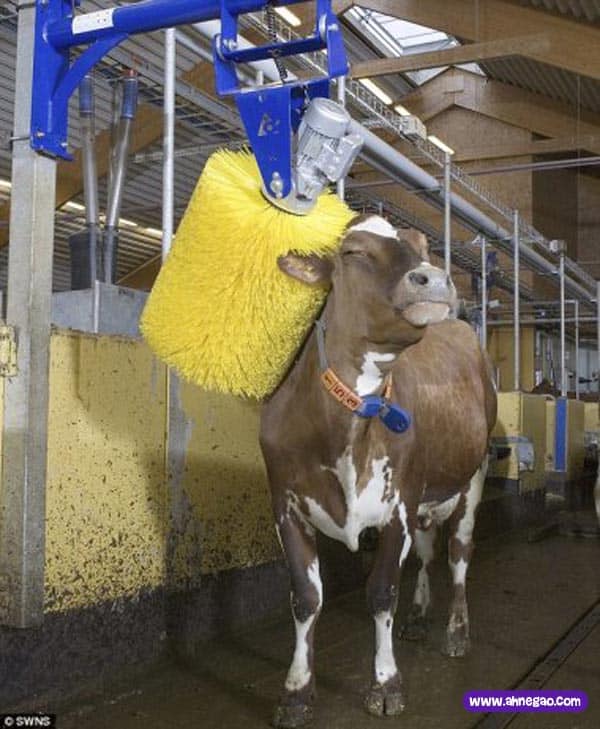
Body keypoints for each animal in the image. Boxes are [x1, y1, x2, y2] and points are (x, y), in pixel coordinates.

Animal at [260, 215, 497, 728]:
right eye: (352, 251)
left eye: (422, 245)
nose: (435, 278)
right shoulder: (285, 505)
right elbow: (305, 598)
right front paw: (296, 692)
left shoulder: (399, 506)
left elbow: (383, 591)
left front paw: (386, 685)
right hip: (427, 496)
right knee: (428, 553)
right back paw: (421, 617)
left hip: (472, 476)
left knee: (458, 554)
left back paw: (456, 631)